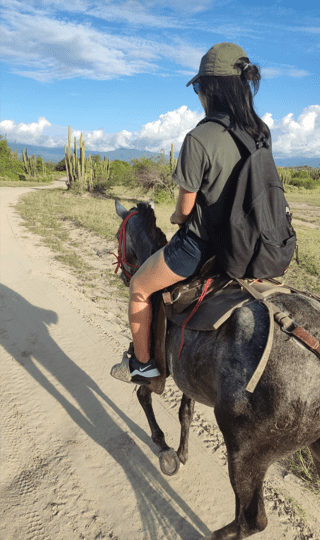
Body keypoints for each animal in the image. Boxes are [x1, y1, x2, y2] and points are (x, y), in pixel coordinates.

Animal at [111, 198, 318, 540]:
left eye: (118, 235)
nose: (126, 278)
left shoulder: (157, 367)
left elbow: (144, 393)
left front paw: (163, 448)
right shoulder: (189, 374)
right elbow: (185, 412)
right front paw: (181, 453)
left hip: (245, 450)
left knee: (252, 519)